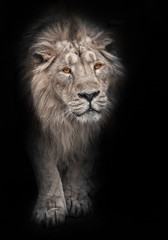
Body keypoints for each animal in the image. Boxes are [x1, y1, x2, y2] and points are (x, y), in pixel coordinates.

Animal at [18, 8, 123, 227]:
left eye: (98, 66)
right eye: (66, 70)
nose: (90, 95)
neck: (68, 121)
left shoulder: (93, 134)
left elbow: (81, 165)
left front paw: (76, 199)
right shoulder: (35, 130)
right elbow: (47, 169)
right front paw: (51, 209)